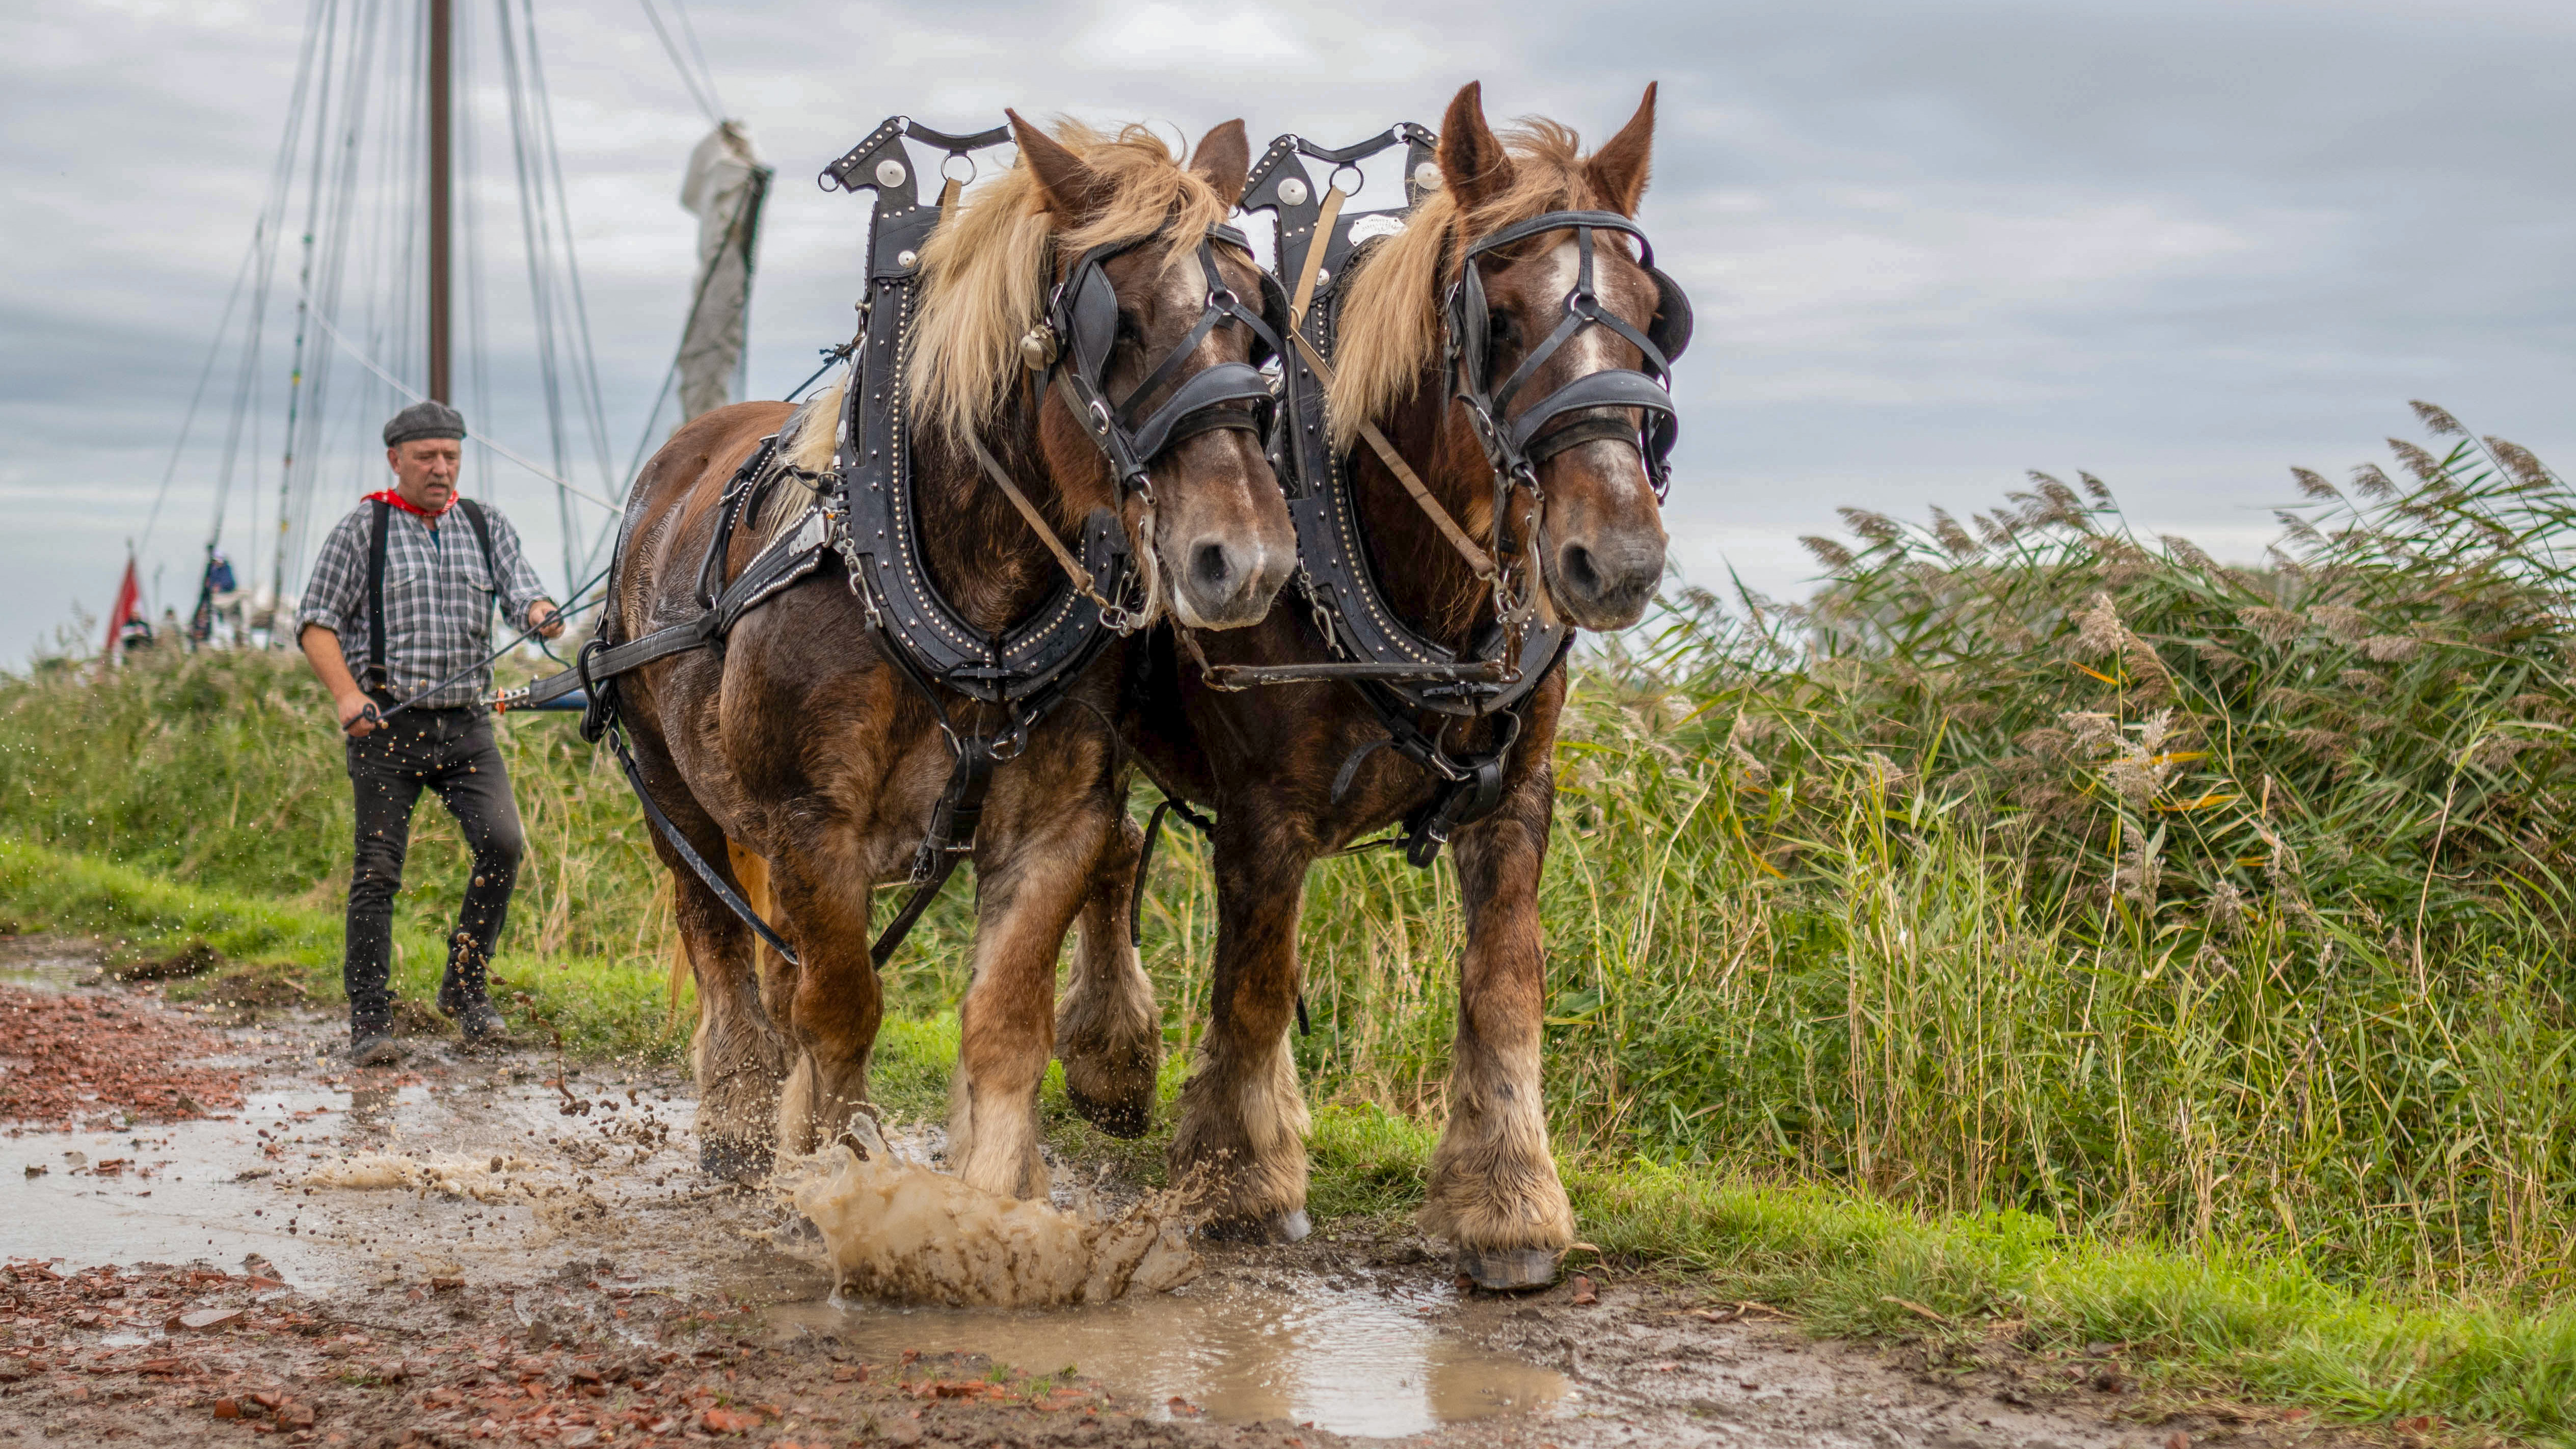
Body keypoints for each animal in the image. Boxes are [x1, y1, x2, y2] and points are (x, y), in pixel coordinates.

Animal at [610, 115, 1298, 1196]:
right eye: (1119, 323)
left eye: (1257, 323)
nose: (1250, 557)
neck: (970, 606)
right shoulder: (811, 824)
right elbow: (841, 1007)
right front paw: (842, 1168)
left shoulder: (1052, 823)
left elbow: (1005, 1018)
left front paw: (996, 1192)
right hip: (672, 782)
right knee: (716, 931)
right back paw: (740, 1115)